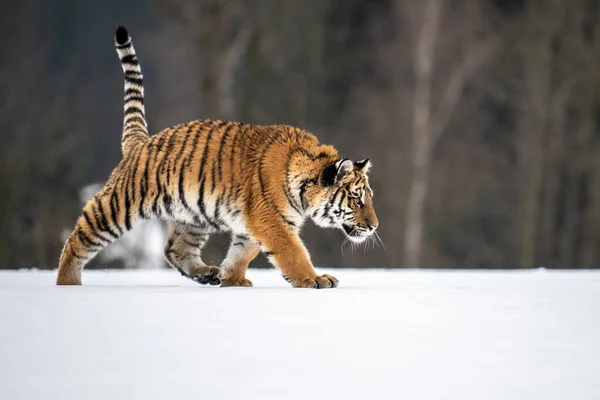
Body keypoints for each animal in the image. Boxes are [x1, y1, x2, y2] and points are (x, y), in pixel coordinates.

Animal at [56, 25, 378, 288]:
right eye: (356, 199)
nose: (374, 226)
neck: (303, 184)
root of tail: (142, 142)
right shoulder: (270, 220)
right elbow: (293, 253)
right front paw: (314, 279)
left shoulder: (251, 222)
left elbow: (242, 252)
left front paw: (232, 280)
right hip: (120, 204)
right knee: (78, 238)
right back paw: (68, 284)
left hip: (192, 216)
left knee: (174, 248)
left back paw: (206, 273)